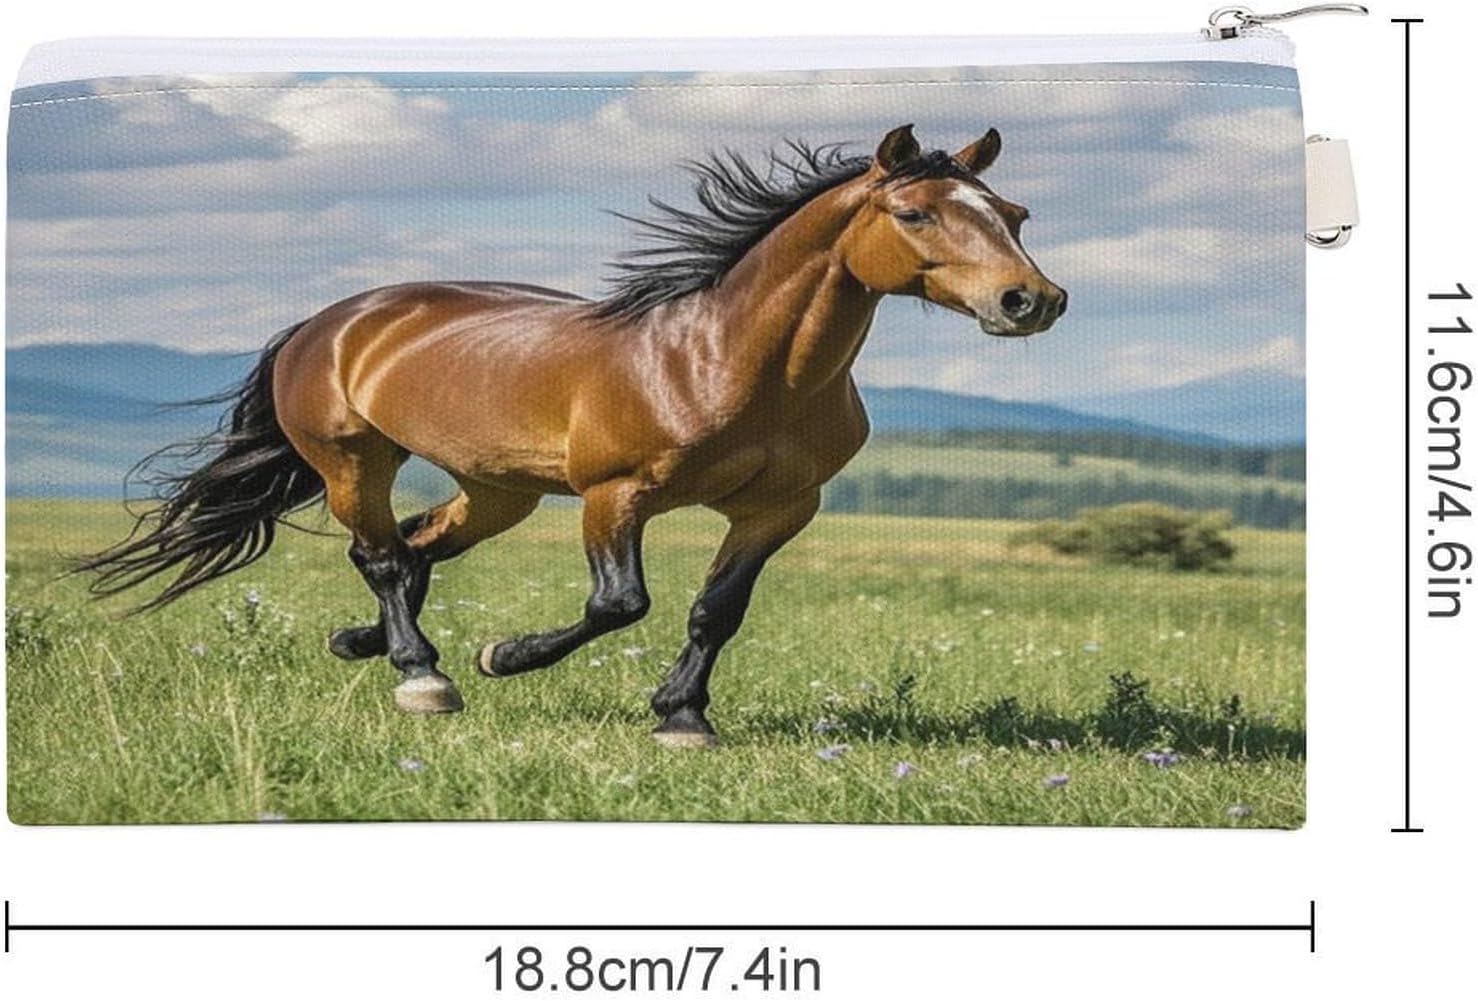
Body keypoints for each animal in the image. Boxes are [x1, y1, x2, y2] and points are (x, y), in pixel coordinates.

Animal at [78, 124, 1065, 746]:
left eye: (1014, 215)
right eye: (915, 214)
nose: (1032, 301)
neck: (726, 361)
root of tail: (327, 322)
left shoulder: (780, 509)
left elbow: (716, 611)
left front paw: (682, 717)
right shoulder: (615, 494)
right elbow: (619, 603)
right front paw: (505, 656)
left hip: (498, 490)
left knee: (420, 546)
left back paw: (361, 645)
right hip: (352, 458)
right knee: (384, 556)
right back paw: (423, 675)